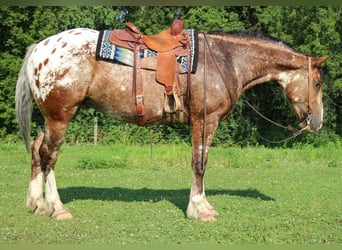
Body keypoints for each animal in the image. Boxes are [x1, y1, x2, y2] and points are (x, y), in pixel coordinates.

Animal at [15, 28, 328, 222]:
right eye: (317, 83)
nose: (317, 122)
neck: (226, 60)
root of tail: (39, 48)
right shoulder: (205, 120)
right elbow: (200, 162)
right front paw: (200, 209)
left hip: (51, 118)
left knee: (36, 149)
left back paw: (37, 204)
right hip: (60, 115)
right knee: (49, 155)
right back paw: (57, 208)